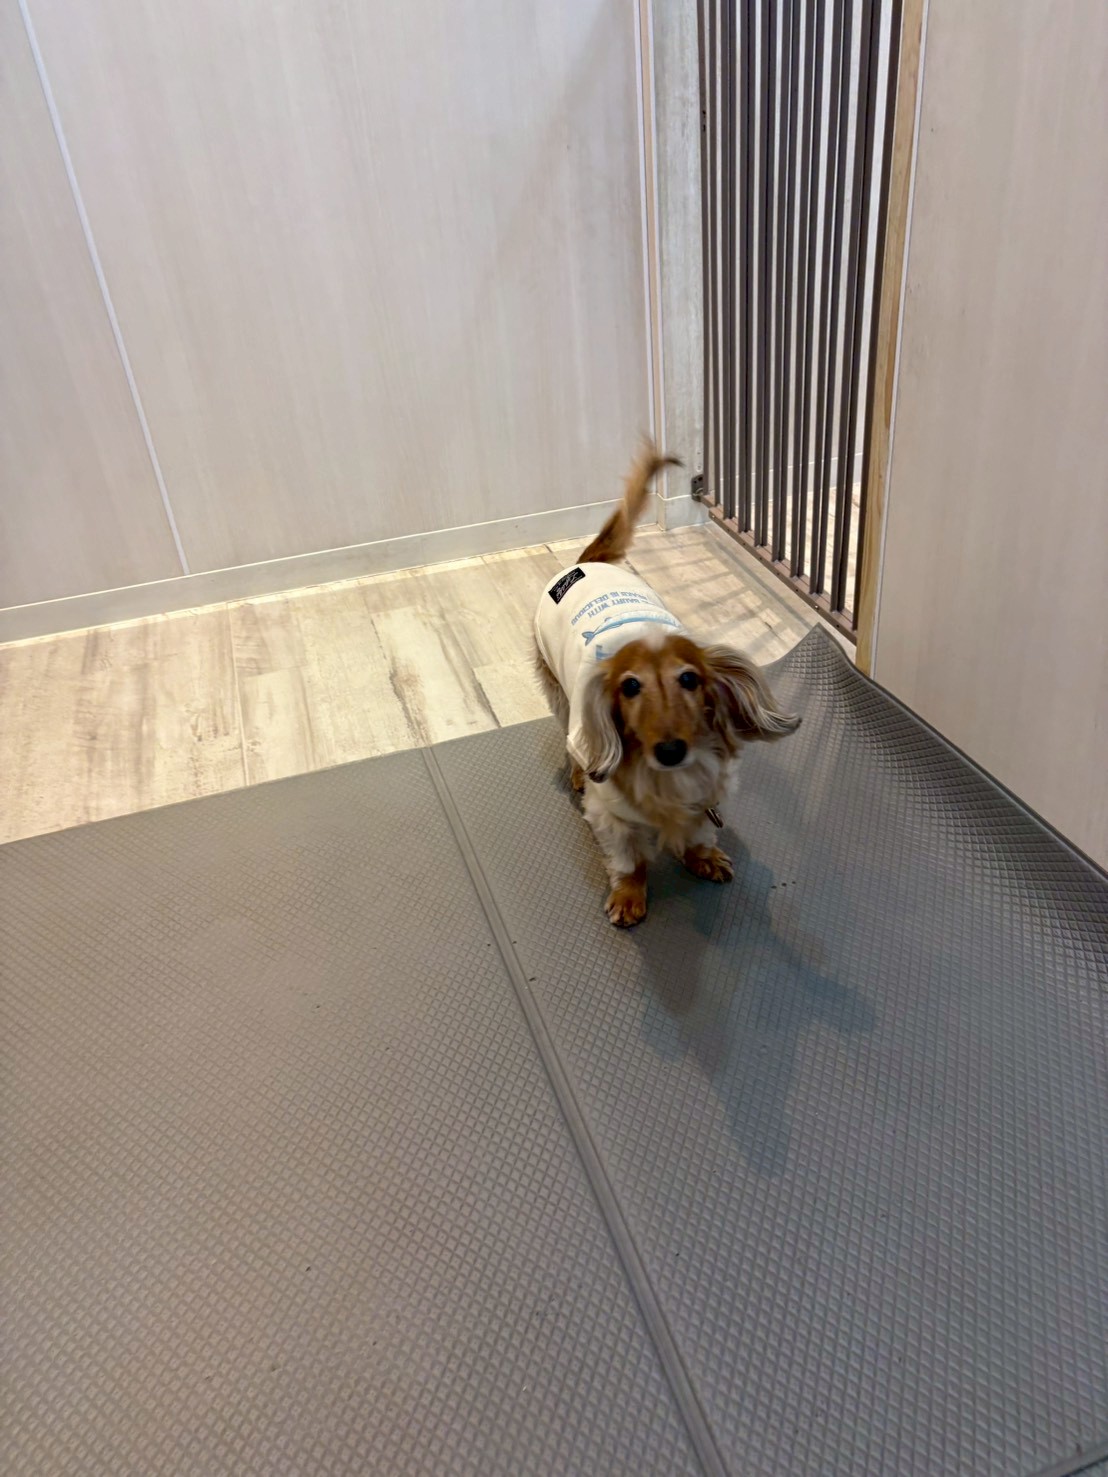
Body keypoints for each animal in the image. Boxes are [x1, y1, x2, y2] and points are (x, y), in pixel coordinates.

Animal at [534, 442, 800, 927]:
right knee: (572, 740)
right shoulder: (610, 817)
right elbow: (629, 859)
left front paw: (703, 858)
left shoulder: (706, 794)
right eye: (629, 687)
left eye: (689, 679)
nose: (671, 750)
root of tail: (587, 564)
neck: (668, 782)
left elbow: (698, 834)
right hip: (561, 697)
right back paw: (579, 771)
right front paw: (629, 896)